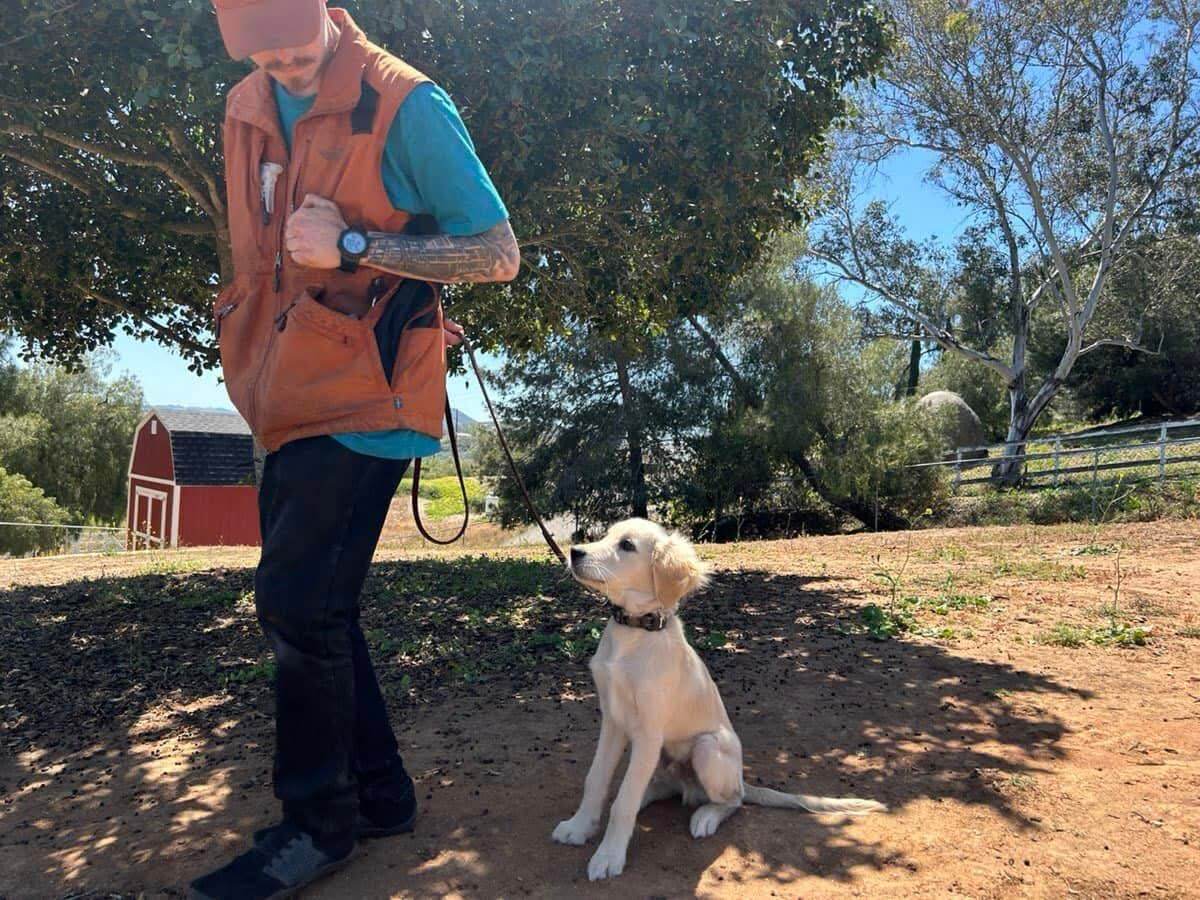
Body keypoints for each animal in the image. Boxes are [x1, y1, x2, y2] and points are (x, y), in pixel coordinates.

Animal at [549, 520, 883, 883]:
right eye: (606, 535)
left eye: (626, 545)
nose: (574, 552)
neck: (634, 633)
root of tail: (740, 779)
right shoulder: (613, 721)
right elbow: (595, 780)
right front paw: (579, 827)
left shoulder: (648, 732)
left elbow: (623, 802)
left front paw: (609, 856)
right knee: (664, 787)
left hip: (708, 748)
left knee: (731, 800)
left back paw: (706, 816)